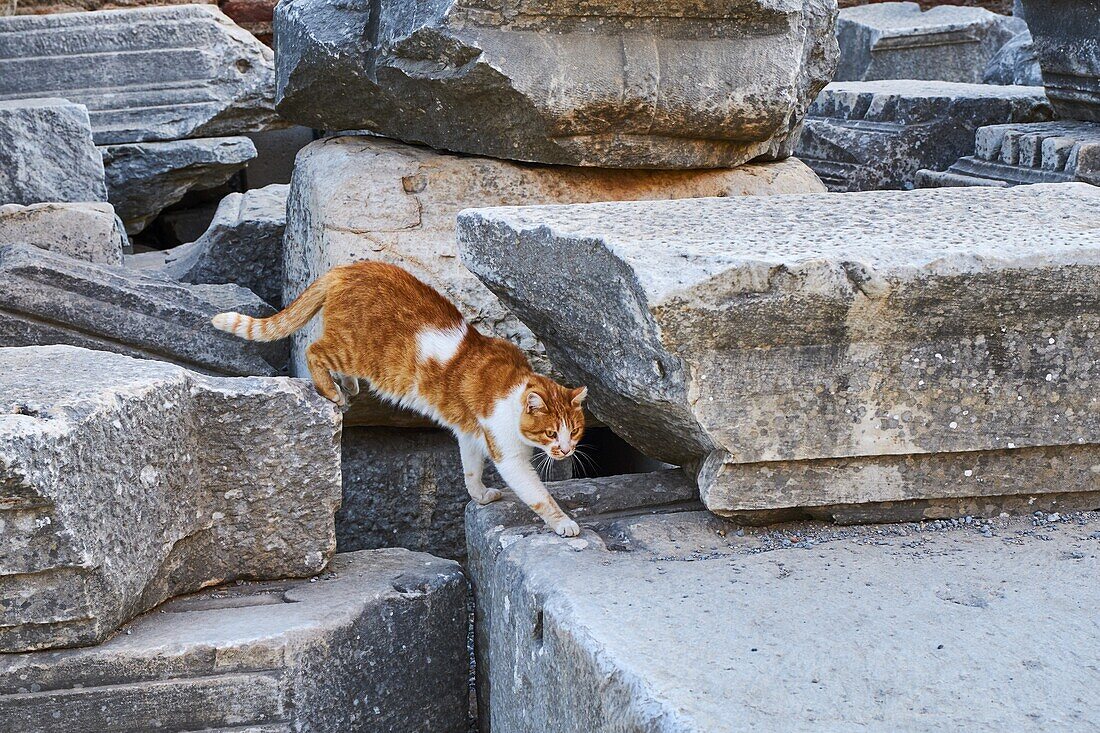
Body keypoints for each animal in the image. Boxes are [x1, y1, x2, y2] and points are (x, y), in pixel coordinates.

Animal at [207, 259, 585, 534]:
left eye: (576, 431)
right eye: (551, 433)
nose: (567, 451)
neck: (515, 387)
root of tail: (345, 269)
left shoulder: (469, 434)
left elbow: (470, 471)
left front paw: (480, 495)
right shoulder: (509, 457)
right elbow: (539, 496)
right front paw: (564, 524)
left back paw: (349, 387)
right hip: (352, 350)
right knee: (313, 351)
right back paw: (332, 391)